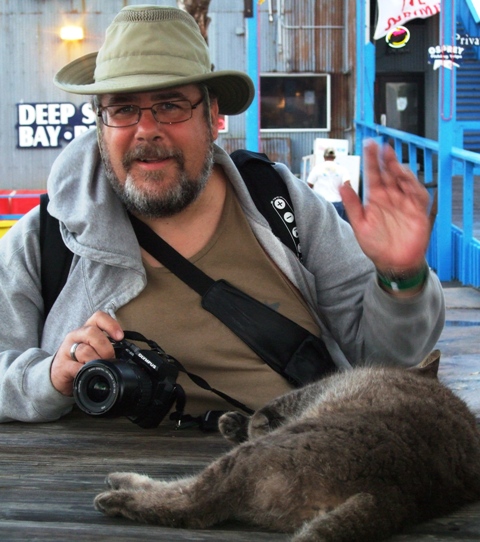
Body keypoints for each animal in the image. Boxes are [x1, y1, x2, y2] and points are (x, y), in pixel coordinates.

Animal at [93, 352, 480, 542]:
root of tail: (393, 492)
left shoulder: (293, 401)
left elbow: (259, 418)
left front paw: (236, 422)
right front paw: (232, 422)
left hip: (252, 458)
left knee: (192, 504)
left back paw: (117, 495)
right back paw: (121, 481)